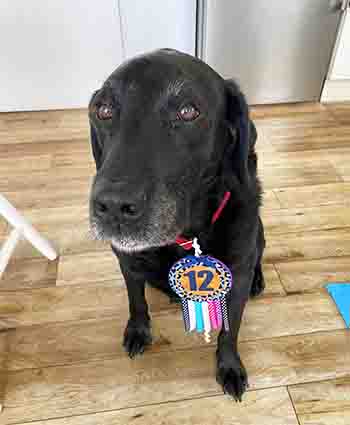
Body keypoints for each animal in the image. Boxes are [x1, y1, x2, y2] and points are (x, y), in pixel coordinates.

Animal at [88, 49, 266, 400]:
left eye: (187, 111)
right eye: (103, 110)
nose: (113, 206)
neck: (186, 235)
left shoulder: (236, 275)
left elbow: (230, 330)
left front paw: (229, 366)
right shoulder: (127, 262)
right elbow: (137, 302)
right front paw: (138, 331)